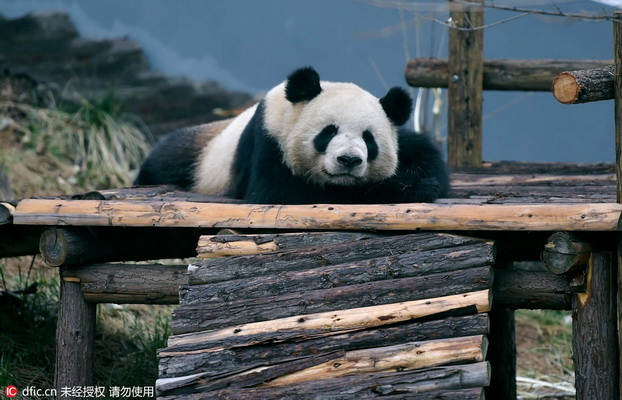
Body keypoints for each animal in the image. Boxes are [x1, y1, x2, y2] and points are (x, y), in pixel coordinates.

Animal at [135, 67, 448, 205]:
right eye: (328, 132)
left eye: (369, 139)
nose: (348, 160)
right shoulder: (269, 139)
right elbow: (282, 193)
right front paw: (407, 188)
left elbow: (429, 157)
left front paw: (418, 180)